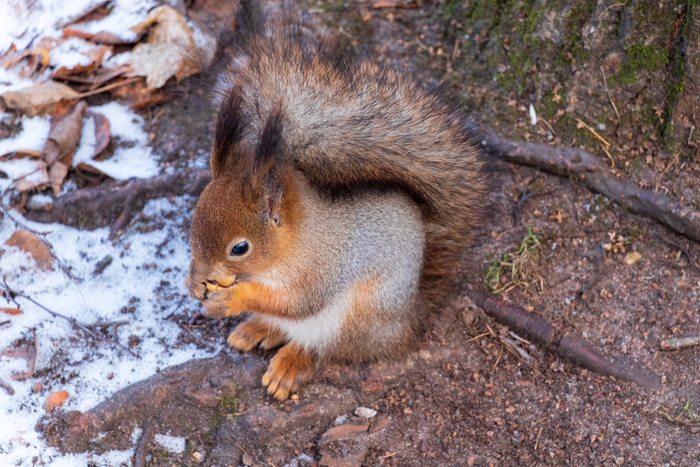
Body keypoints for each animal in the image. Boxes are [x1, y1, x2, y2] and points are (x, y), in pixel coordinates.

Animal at [185, 1, 491, 400]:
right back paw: (256, 330)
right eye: (192, 220)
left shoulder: (322, 271)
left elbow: (292, 302)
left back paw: (289, 364)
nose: (202, 275)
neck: (295, 243)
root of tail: (406, 325)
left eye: (240, 248)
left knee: (324, 349)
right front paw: (192, 284)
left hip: (354, 317)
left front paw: (233, 300)